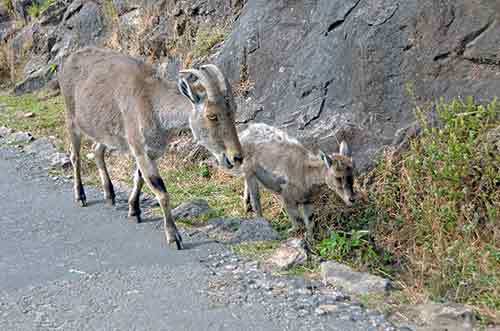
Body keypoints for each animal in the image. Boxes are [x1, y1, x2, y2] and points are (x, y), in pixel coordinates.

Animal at [58, 46, 242, 249]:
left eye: (233, 109)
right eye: (212, 115)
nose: (236, 157)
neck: (153, 104)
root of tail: (69, 59)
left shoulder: (150, 153)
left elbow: (139, 178)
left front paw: (134, 210)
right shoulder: (141, 150)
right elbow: (161, 192)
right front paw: (173, 236)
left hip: (105, 131)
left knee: (97, 150)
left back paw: (110, 194)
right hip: (71, 119)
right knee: (75, 156)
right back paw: (81, 195)